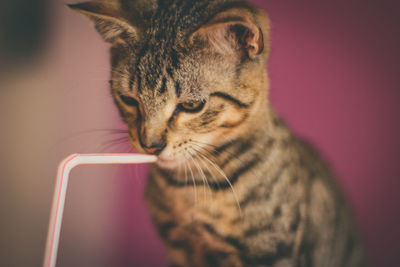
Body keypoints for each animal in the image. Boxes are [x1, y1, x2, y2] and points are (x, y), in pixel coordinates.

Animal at [69, 1, 366, 266]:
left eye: (191, 105)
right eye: (129, 99)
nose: (150, 145)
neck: (191, 189)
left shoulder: (272, 252)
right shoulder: (180, 246)